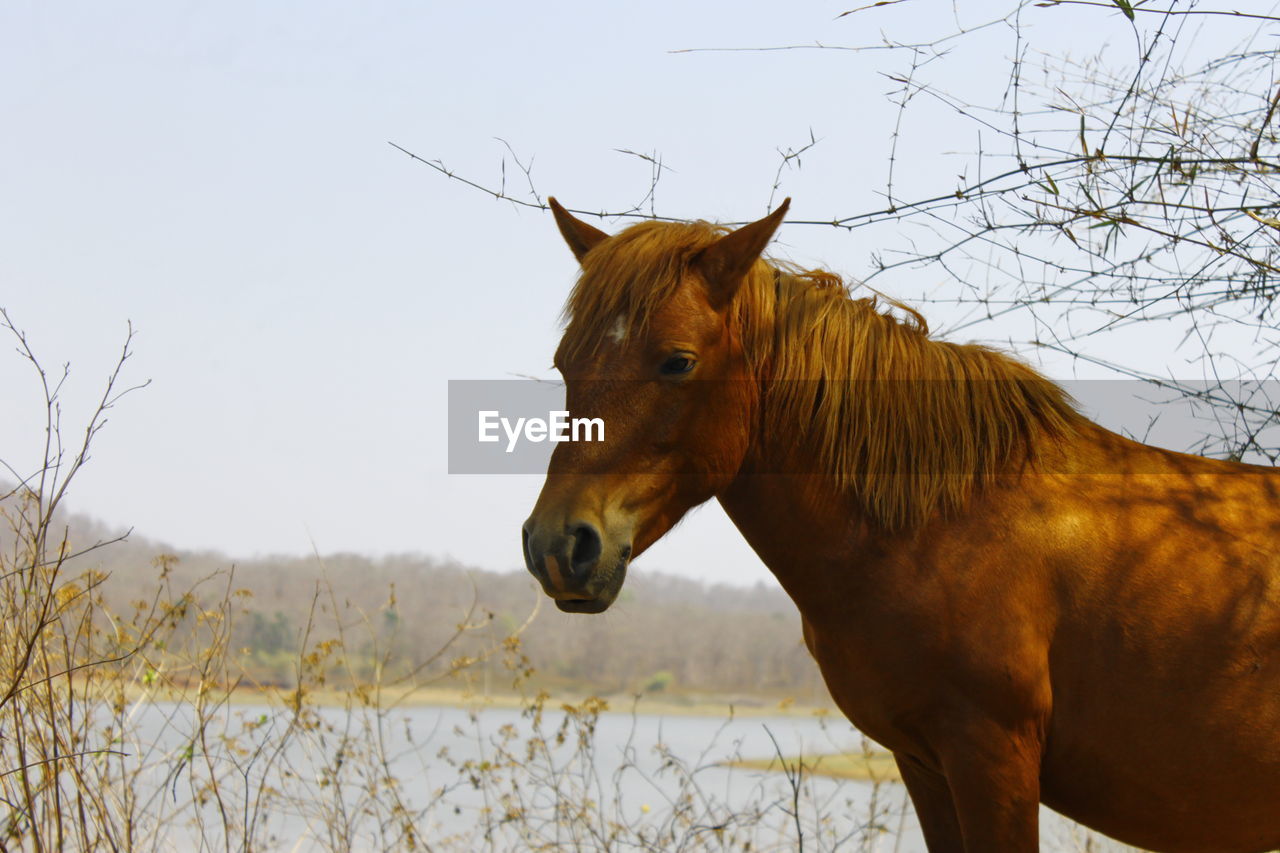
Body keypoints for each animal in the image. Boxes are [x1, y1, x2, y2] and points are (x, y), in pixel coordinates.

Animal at [517, 195, 1280, 845]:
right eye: (564, 363)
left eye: (678, 362)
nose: (560, 545)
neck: (939, 526)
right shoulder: (924, 763)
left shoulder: (991, 757)